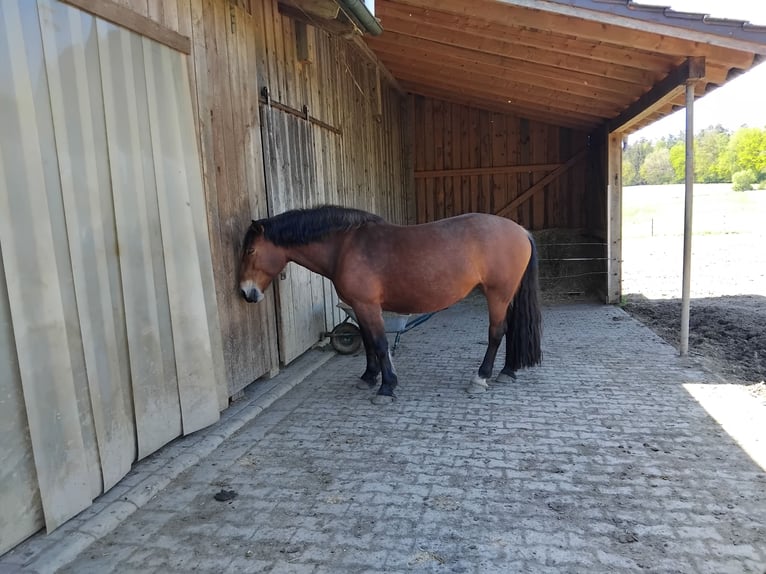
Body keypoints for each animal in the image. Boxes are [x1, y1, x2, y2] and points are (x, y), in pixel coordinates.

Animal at [239, 205, 542, 405]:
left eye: (251, 250)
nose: (245, 292)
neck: (345, 246)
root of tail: (520, 231)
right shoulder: (359, 307)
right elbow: (368, 343)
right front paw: (368, 377)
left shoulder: (368, 306)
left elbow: (380, 343)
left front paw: (386, 388)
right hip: (507, 296)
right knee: (511, 329)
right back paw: (507, 371)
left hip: (498, 295)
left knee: (496, 333)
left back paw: (481, 377)